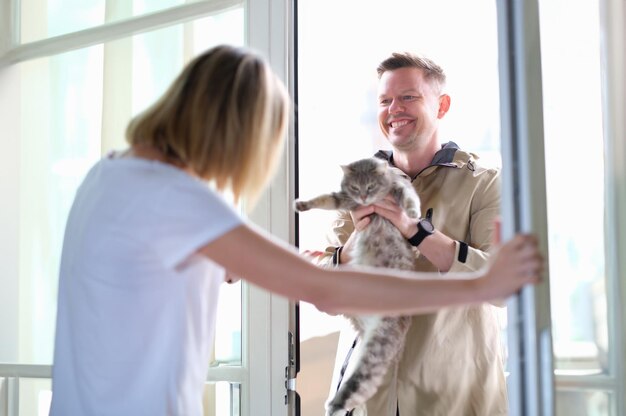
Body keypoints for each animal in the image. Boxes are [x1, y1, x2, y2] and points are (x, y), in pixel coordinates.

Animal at [292, 157, 420, 416]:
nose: (362, 197)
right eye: (355, 187)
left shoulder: (398, 188)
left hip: (376, 349)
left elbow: (409, 197)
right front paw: (302, 204)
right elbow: (323, 199)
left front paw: (413, 214)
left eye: (370, 186)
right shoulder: (343, 198)